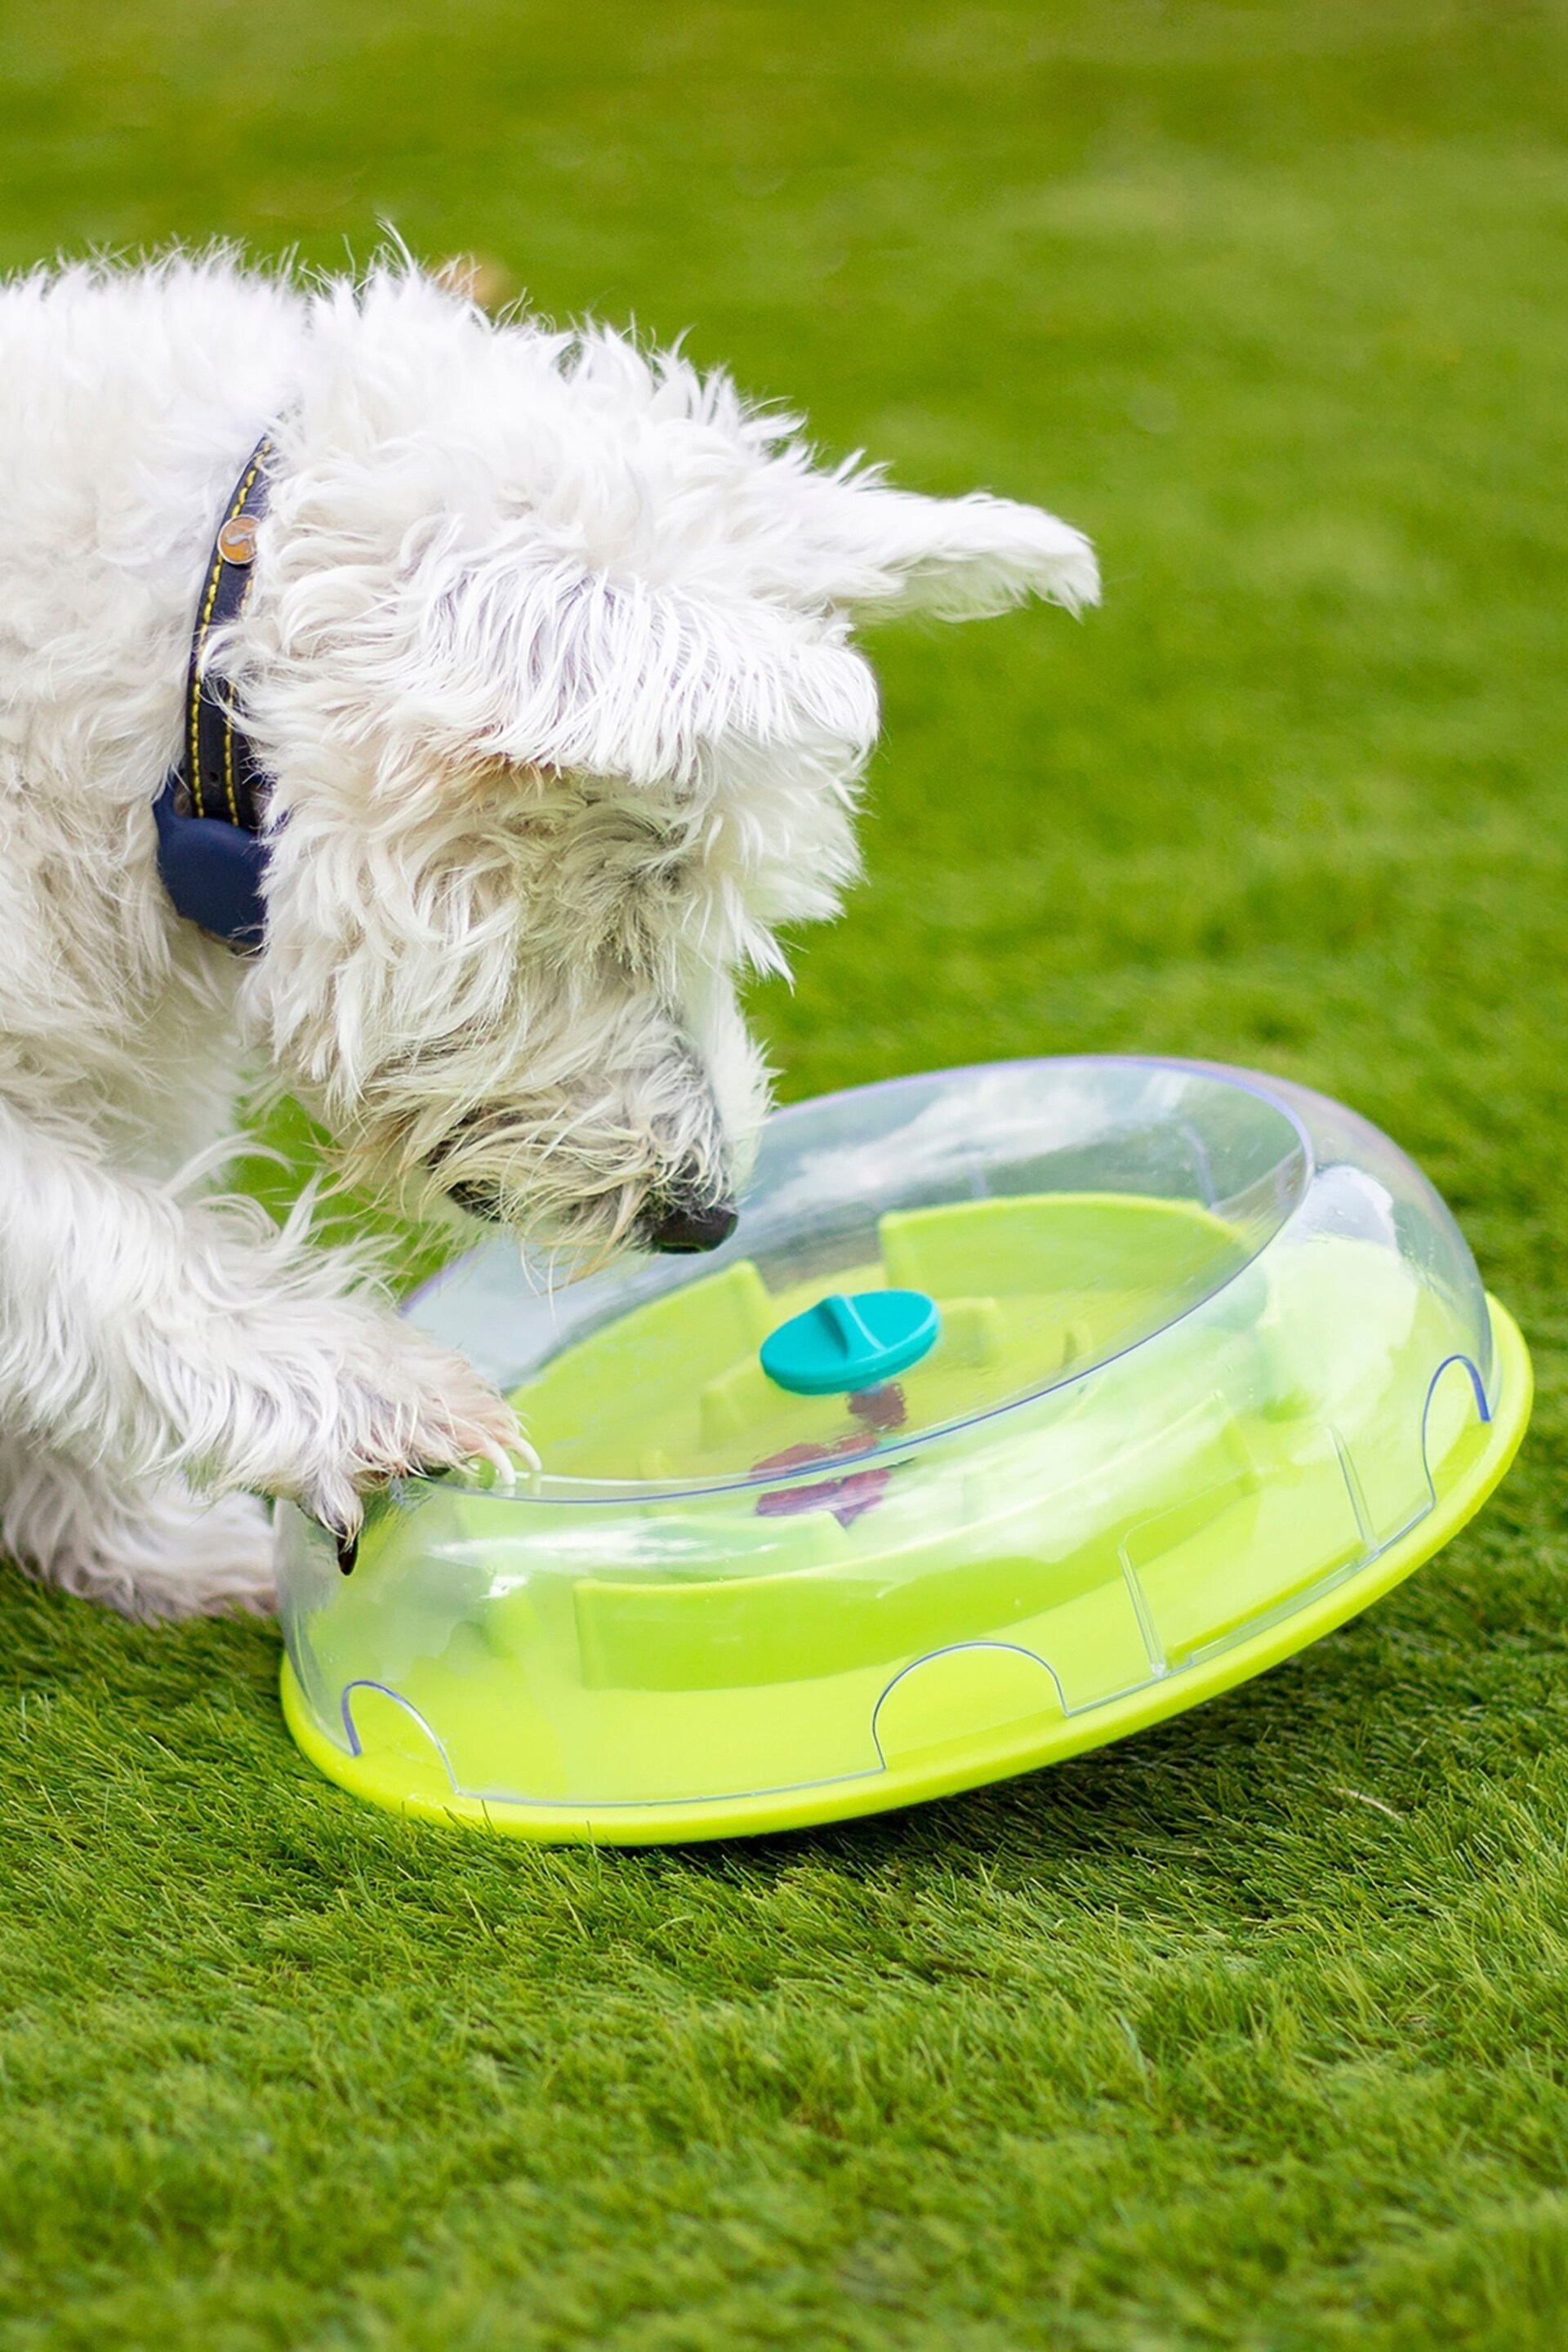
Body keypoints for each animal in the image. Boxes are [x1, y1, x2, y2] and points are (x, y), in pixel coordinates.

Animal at [0, 257, 1104, 1618]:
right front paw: (380, 1404)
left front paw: (139, 1547)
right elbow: (109, 1253)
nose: (707, 1220)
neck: (183, 684)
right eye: (638, 891)